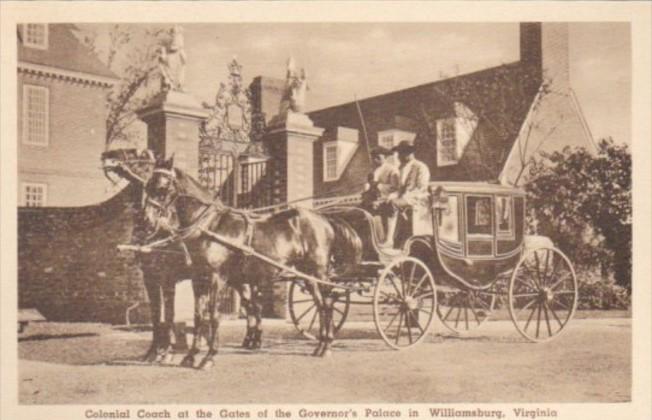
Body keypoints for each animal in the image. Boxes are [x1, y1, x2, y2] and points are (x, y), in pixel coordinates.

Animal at [141, 157, 362, 368]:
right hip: (306, 275)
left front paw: (209, 357)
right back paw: (320, 345)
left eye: (162, 187)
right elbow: (198, 316)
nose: (147, 221)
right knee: (320, 303)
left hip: (319, 272)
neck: (210, 226)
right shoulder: (199, 279)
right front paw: (190, 356)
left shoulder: (216, 278)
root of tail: (325, 218)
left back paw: (326, 345)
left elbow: (213, 316)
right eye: (148, 185)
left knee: (327, 303)